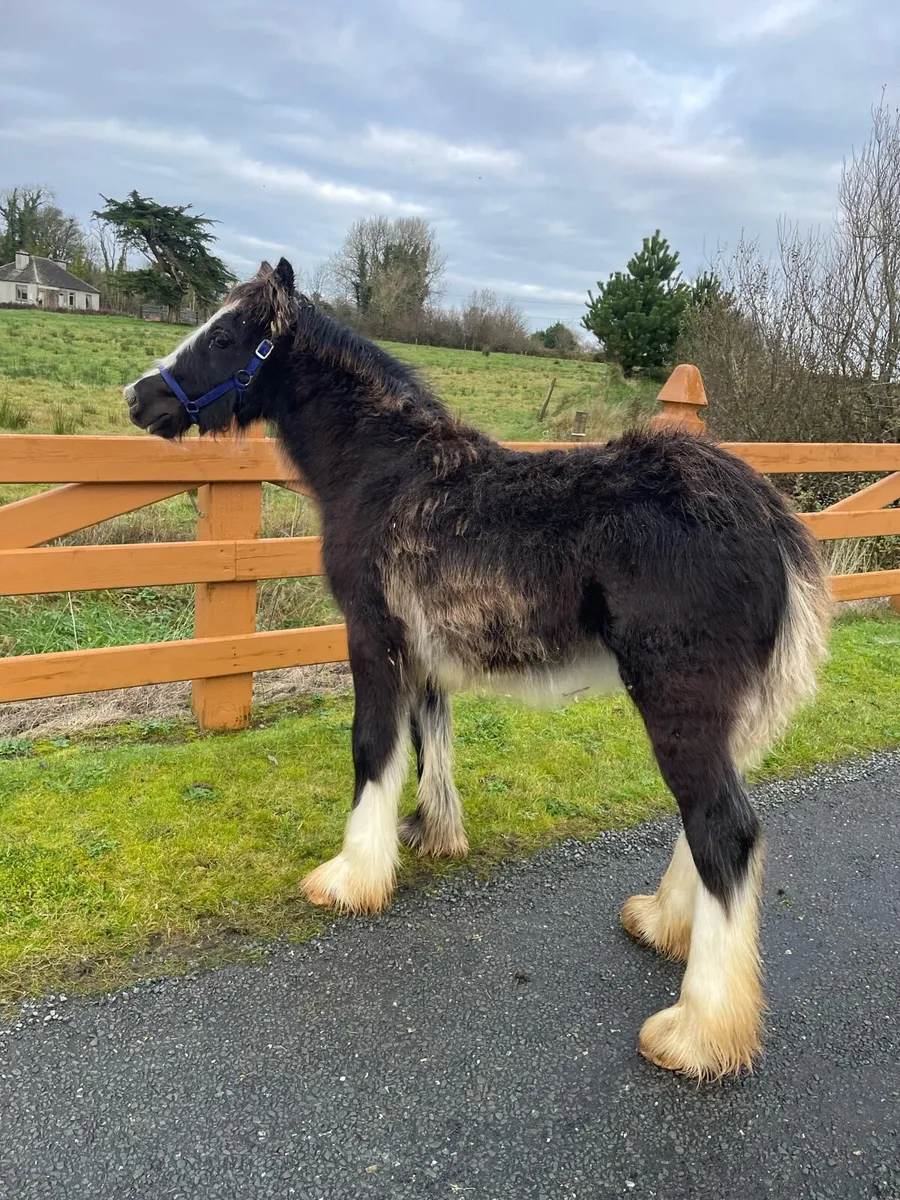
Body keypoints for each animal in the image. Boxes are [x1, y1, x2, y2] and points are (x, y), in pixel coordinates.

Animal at [124, 258, 831, 1080]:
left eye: (227, 336)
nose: (138, 397)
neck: (383, 469)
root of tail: (771, 522)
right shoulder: (423, 658)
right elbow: (427, 742)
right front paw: (429, 835)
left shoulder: (373, 640)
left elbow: (372, 748)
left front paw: (351, 877)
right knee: (708, 827)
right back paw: (662, 925)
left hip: (678, 706)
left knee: (725, 831)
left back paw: (698, 1032)